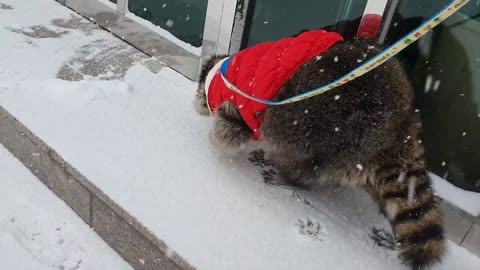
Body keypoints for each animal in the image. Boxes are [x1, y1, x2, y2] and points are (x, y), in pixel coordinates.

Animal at [195, 39, 446, 268]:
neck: (220, 72)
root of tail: (398, 125)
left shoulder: (244, 106)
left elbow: (228, 129)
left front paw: (214, 139)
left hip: (328, 132)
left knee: (302, 159)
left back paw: (288, 174)